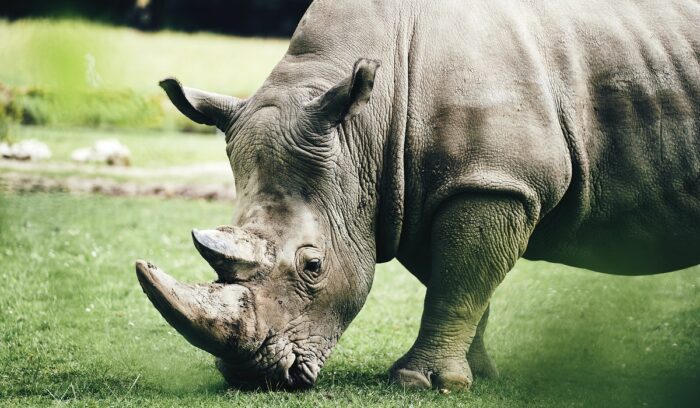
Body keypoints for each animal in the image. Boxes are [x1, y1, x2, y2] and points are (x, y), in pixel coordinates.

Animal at [136, 0, 700, 391]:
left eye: (313, 266)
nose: (254, 377)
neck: (362, 129)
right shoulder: (407, 191)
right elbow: (460, 282)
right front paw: (471, 375)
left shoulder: (493, 181)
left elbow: (458, 284)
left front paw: (421, 382)